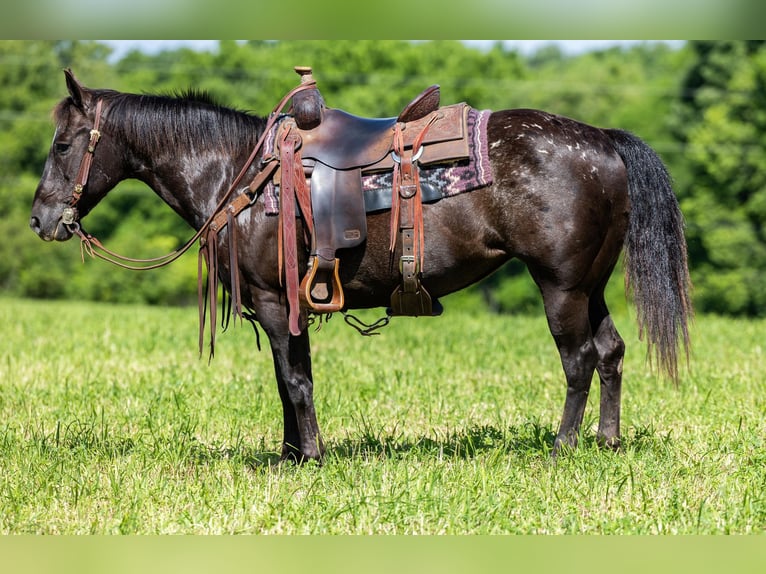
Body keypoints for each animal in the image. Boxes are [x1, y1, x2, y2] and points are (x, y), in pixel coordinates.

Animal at [30, 69, 692, 463]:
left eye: (63, 145)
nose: (41, 220)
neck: (238, 174)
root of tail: (601, 139)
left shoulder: (274, 299)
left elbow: (294, 379)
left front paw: (311, 456)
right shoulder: (286, 305)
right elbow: (287, 378)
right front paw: (291, 454)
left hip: (560, 285)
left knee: (578, 359)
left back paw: (562, 448)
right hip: (591, 285)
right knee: (610, 352)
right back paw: (606, 444)